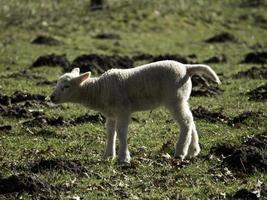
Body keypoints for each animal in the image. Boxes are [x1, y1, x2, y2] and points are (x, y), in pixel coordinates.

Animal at [49, 60, 221, 163]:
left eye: (66, 86)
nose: (51, 97)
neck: (99, 90)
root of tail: (186, 68)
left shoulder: (123, 110)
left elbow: (121, 132)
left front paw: (124, 158)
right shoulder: (111, 113)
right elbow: (111, 132)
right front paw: (108, 155)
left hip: (175, 98)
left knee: (185, 122)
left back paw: (180, 152)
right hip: (182, 98)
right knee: (191, 120)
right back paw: (193, 150)